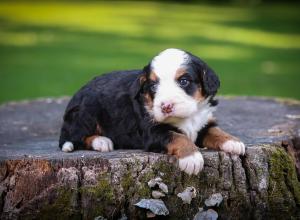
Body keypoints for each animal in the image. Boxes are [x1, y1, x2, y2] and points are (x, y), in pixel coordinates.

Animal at [59, 48, 246, 175]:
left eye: (184, 81)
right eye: (154, 85)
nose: (166, 106)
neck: (187, 117)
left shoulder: (202, 122)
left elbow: (215, 130)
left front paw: (233, 142)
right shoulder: (153, 132)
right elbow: (178, 136)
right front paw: (192, 158)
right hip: (86, 111)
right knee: (75, 137)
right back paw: (102, 141)